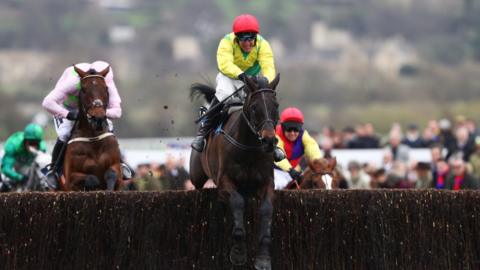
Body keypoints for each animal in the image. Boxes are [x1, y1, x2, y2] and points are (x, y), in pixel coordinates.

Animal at [190, 74, 282, 270]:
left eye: (276, 105)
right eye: (254, 107)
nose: (269, 141)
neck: (248, 148)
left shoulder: (267, 182)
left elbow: (266, 210)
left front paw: (263, 259)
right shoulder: (225, 181)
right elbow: (238, 202)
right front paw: (238, 253)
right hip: (196, 176)